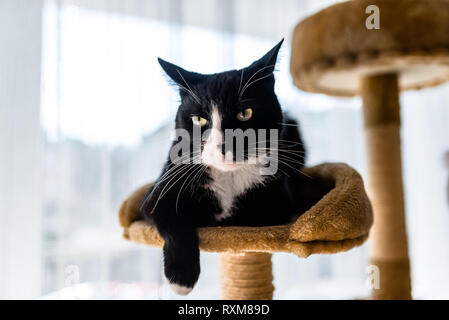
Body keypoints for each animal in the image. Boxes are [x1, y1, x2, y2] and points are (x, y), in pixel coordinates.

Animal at [138, 40, 328, 296]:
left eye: (245, 113)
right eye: (199, 119)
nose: (223, 145)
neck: (228, 178)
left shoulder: (278, 206)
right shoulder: (158, 195)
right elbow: (174, 221)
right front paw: (180, 279)